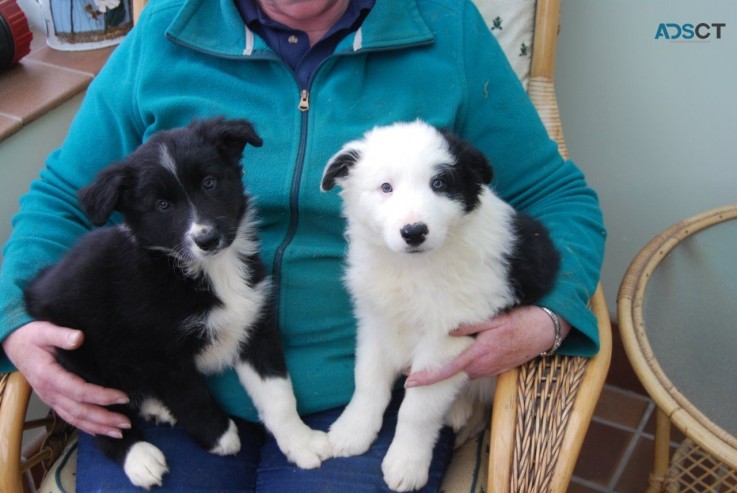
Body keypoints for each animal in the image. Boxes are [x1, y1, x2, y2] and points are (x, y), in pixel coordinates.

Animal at [25, 116, 330, 488]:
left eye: (210, 183)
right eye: (162, 205)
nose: (207, 239)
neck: (207, 270)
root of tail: (34, 292)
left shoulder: (254, 326)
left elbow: (278, 394)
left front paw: (301, 441)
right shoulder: (159, 353)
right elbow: (191, 396)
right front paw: (219, 437)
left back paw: (154, 407)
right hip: (80, 357)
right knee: (101, 420)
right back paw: (139, 457)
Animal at [320, 120, 556, 492]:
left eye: (440, 184)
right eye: (386, 187)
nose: (414, 232)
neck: (412, 267)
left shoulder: (448, 341)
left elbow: (418, 410)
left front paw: (406, 463)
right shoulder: (376, 320)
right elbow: (368, 379)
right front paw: (352, 430)